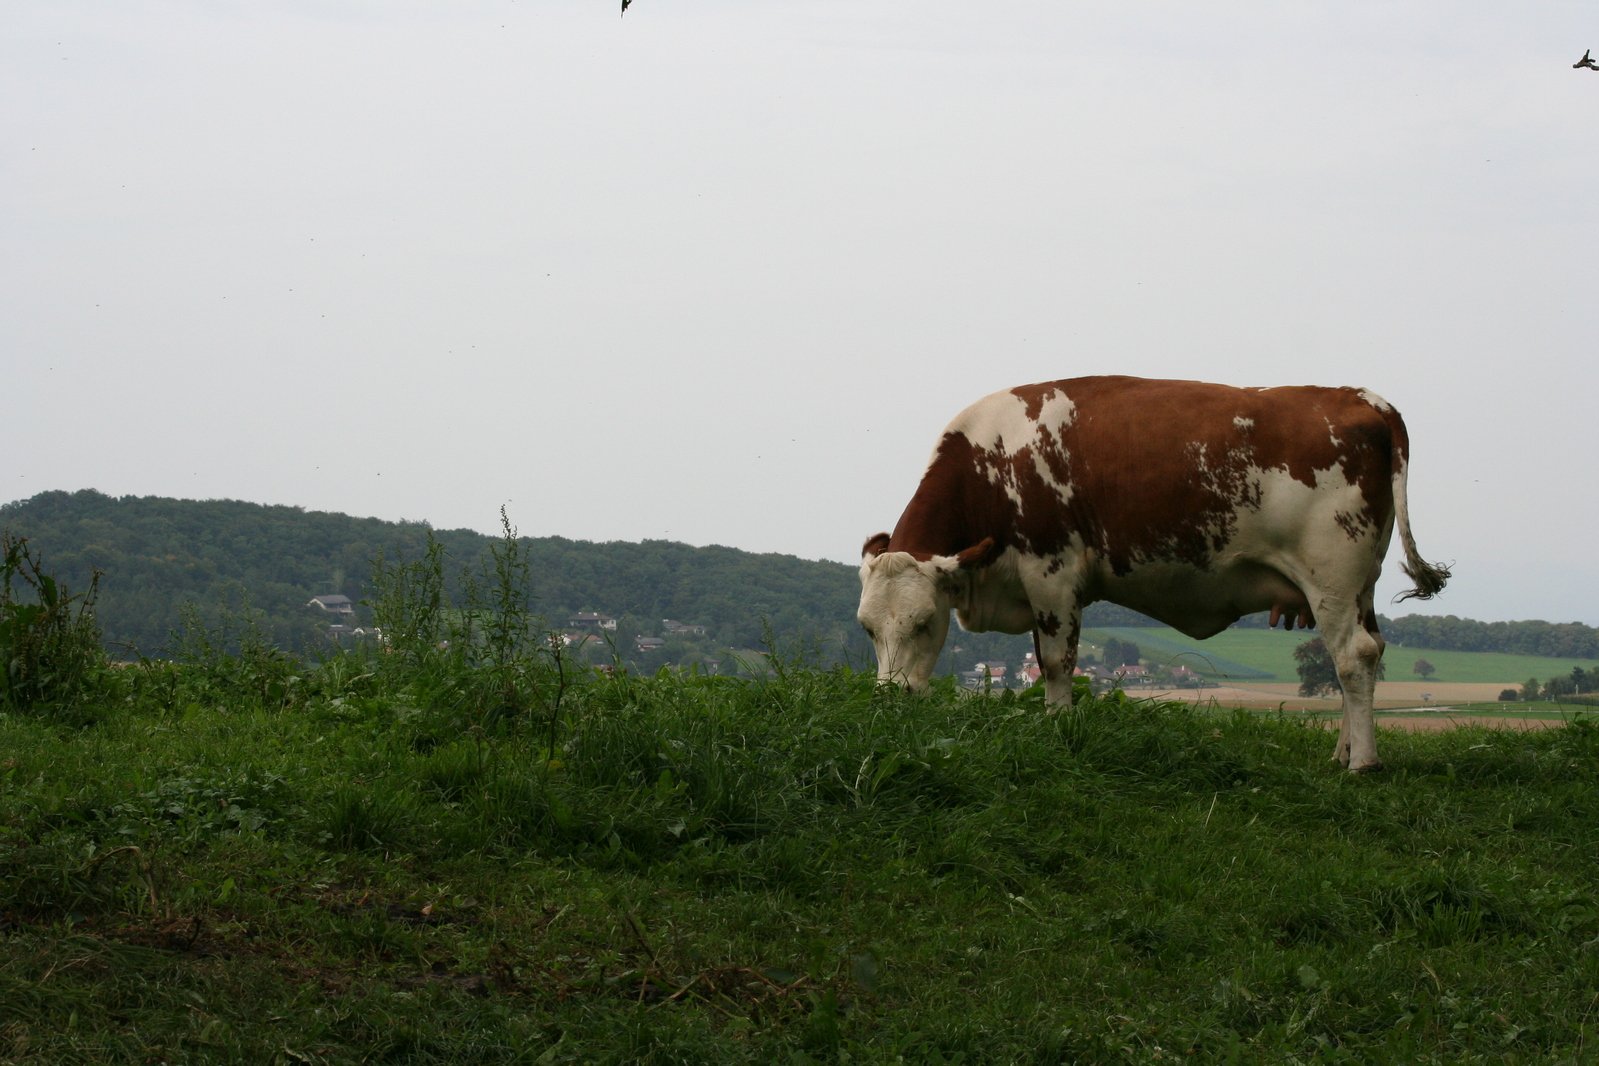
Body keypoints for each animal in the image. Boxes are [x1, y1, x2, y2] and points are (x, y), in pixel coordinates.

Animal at [863, 377, 1451, 776]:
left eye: (923, 622)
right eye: (868, 628)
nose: (890, 700)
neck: (995, 460)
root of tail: (1362, 398)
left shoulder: (1052, 571)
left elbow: (1056, 663)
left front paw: (1058, 730)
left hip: (1332, 577)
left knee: (1354, 656)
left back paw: (1363, 763)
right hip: (1359, 585)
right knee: (1363, 652)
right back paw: (1341, 752)